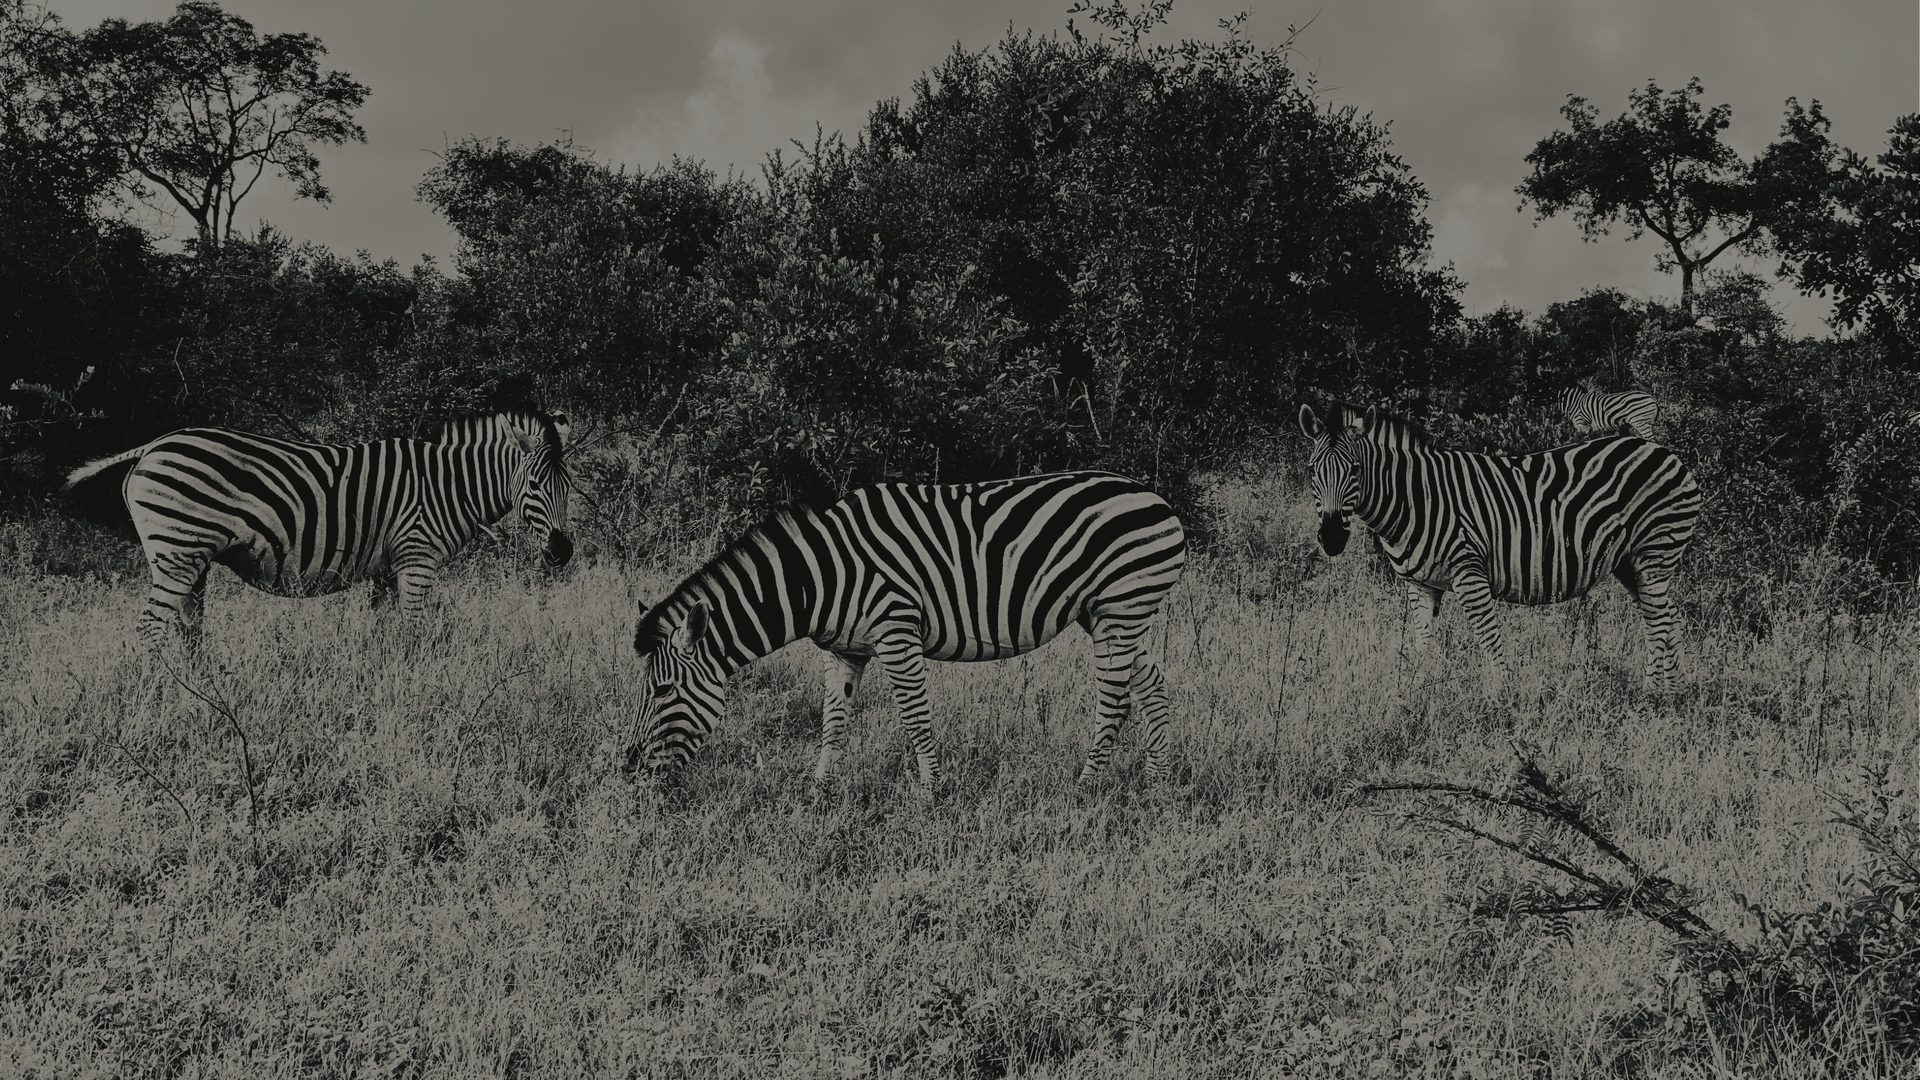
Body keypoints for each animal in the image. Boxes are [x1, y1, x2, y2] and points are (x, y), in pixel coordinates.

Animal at [61, 411, 572, 646]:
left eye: (569, 487)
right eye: (533, 485)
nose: (562, 553)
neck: (448, 486)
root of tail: (152, 446)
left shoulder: (386, 568)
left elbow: (380, 632)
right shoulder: (417, 558)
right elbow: (412, 631)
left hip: (191, 560)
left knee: (188, 630)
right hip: (178, 551)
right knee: (150, 629)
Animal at [627, 471, 1188, 794]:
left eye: (662, 691)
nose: (629, 770)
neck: (818, 578)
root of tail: (1158, 500)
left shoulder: (896, 630)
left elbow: (915, 716)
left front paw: (931, 790)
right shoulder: (843, 651)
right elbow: (833, 719)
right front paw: (820, 787)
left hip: (1120, 606)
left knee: (1115, 697)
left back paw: (1087, 784)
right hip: (1109, 615)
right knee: (1153, 685)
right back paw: (1159, 783)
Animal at [1298, 402, 1700, 690]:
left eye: (1355, 470)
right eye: (1312, 470)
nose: (1331, 538)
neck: (1416, 499)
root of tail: (1666, 453)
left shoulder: (1469, 573)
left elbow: (1489, 638)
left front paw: (1503, 699)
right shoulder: (1420, 585)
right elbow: (1421, 642)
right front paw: (1418, 696)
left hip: (1654, 552)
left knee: (1659, 622)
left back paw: (1650, 693)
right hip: (1630, 563)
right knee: (1669, 616)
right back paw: (1676, 691)